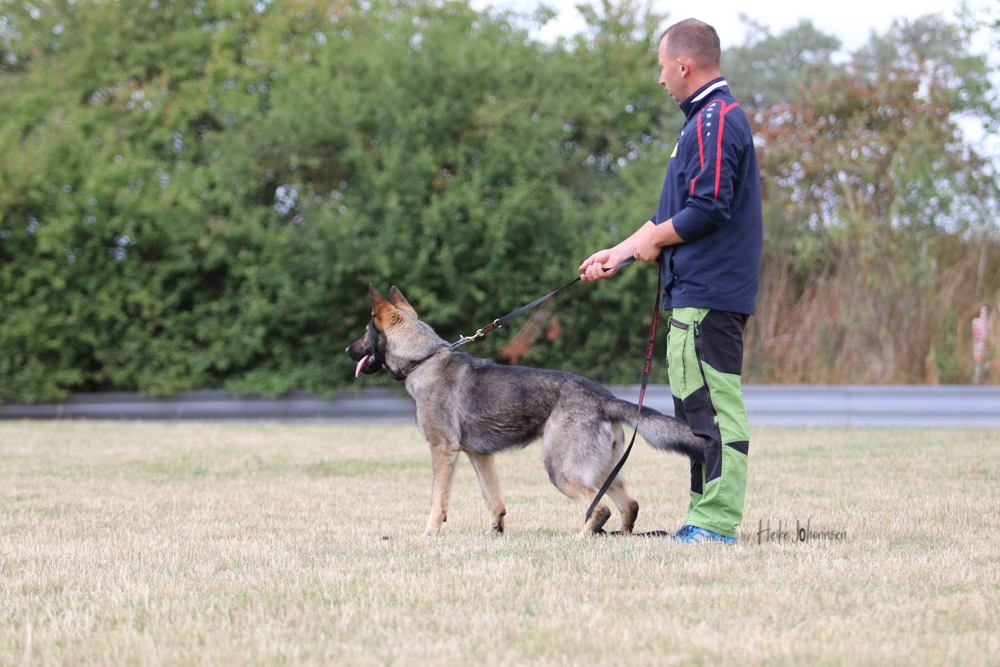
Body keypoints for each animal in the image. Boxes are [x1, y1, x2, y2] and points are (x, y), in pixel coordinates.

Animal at [346, 284, 705, 537]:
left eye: (364, 333)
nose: (348, 350)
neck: (423, 358)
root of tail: (603, 397)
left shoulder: (443, 449)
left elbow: (438, 499)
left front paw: (429, 533)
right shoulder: (479, 456)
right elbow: (493, 499)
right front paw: (495, 532)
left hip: (559, 469)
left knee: (599, 508)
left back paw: (580, 539)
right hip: (602, 469)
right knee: (628, 504)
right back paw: (620, 536)